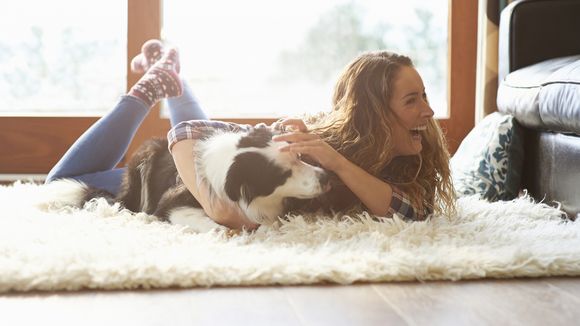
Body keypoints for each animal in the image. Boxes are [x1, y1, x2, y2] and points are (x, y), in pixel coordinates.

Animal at [84, 126, 334, 225]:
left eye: (298, 156)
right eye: (282, 175)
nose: (327, 177)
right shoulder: (171, 203)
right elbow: (210, 224)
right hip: (145, 156)